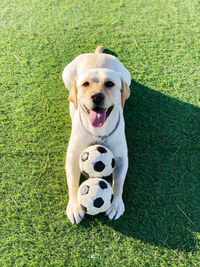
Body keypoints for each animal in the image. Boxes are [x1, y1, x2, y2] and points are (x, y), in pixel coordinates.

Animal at [62, 45, 131, 224]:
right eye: (85, 84)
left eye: (110, 84)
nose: (97, 96)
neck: (99, 132)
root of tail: (97, 54)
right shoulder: (73, 156)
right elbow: (72, 182)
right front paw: (74, 205)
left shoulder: (121, 157)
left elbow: (119, 181)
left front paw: (116, 204)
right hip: (66, 74)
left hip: (127, 76)